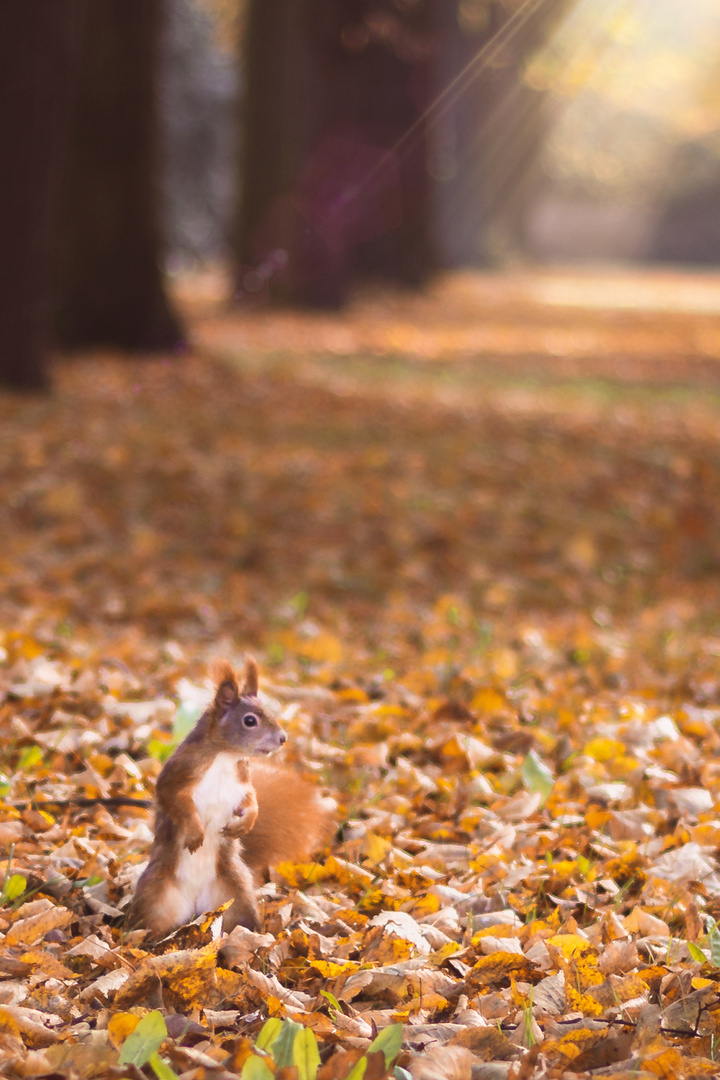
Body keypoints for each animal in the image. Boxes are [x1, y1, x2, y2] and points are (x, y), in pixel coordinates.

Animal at [131, 656, 334, 937]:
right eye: (250, 721)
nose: (283, 738)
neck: (226, 756)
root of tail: (196, 907)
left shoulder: (242, 782)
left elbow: (252, 801)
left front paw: (245, 823)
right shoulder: (177, 776)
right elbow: (177, 802)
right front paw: (195, 832)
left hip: (236, 895)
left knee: (239, 922)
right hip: (156, 896)